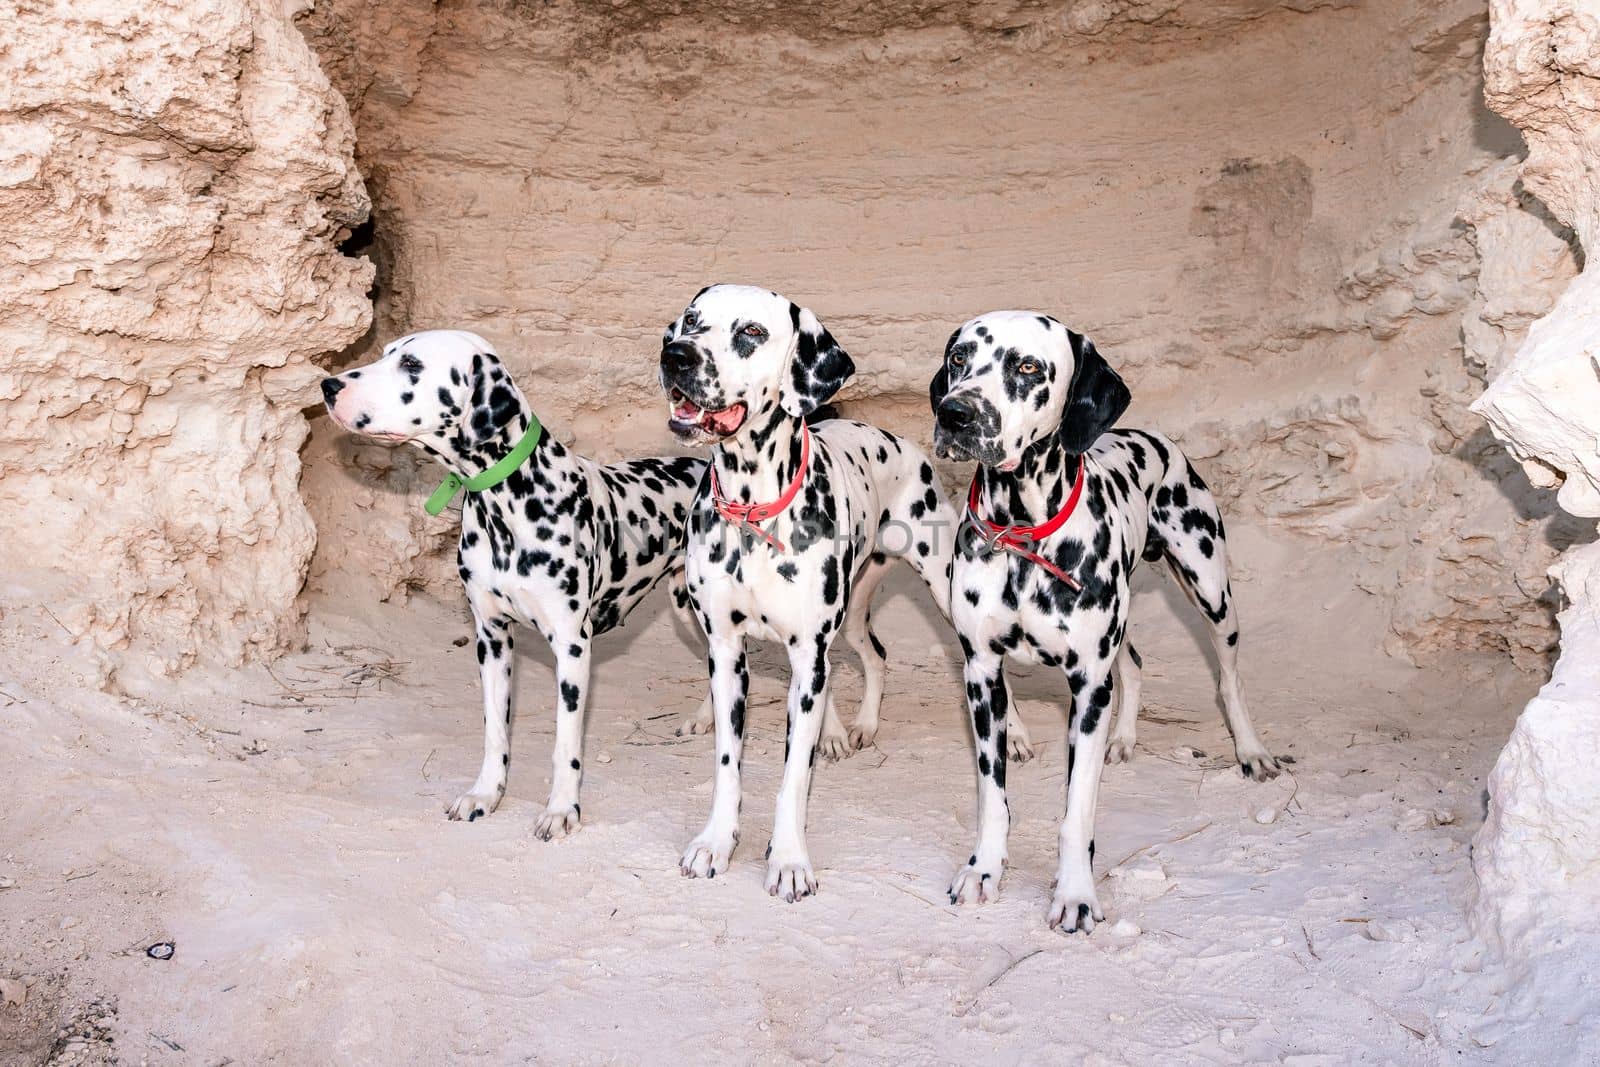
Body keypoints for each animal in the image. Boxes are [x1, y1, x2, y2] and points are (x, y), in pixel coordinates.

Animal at [318, 329, 707, 838]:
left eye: (412, 364)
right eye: (386, 354)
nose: (328, 386)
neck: (509, 504)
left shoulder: (572, 649)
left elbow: (566, 745)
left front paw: (562, 809)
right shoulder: (491, 638)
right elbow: (495, 731)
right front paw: (486, 794)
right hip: (690, 610)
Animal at [934, 310, 1280, 934]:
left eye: (1028, 367)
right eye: (958, 358)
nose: (954, 413)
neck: (1024, 536)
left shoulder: (1087, 688)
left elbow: (1077, 811)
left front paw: (1074, 894)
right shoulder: (981, 675)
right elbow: (992, 795)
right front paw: (984, 870)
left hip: (1212, 590)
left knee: (1228, 676)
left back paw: (1250, 749)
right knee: (1135, 661)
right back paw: (1123, 737)